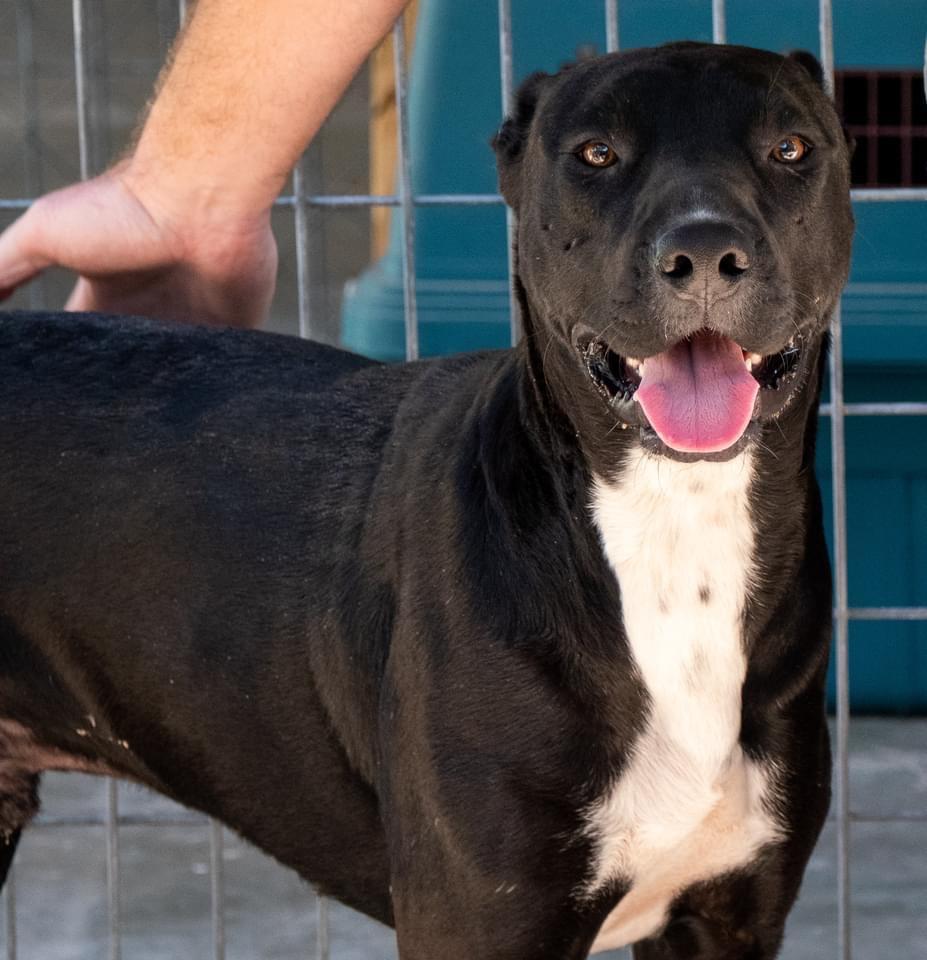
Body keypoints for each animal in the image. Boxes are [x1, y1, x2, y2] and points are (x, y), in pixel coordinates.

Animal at [0, 45, 856, 960]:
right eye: (596, 154)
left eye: (790, 148)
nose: (702, 251)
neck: (671, 534)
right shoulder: (478, 922)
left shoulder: (727, 919)